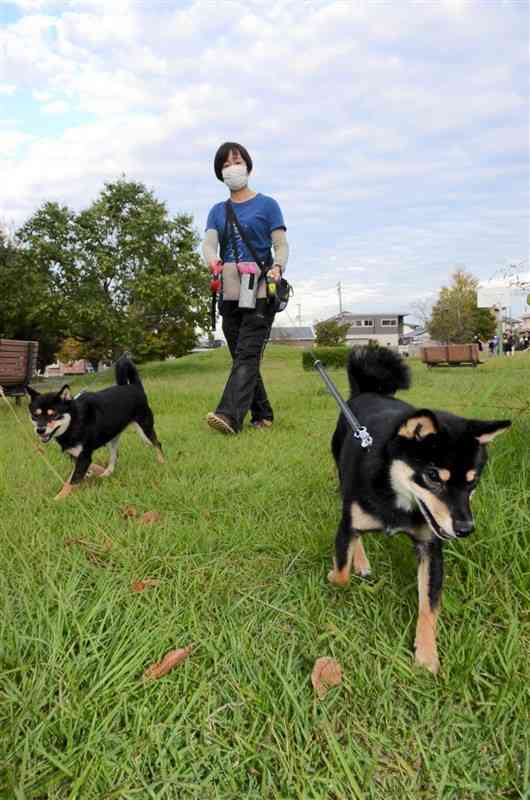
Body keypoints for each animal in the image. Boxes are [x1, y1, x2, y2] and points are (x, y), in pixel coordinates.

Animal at [26, 358, 163, 500]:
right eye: (35, 415)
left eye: (53, 415)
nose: (40, 430)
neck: (75, 421)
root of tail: (134, 386)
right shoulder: (75, 455)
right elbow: (73, 477)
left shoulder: (84, 457)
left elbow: (71, 481)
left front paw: (58, 498)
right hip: (112, 438)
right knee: (114, 456)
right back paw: (107, 473)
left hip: (145, 430)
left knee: (157, 444)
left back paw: (162, 462)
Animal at [328, 346, 510, 672]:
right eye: (433, 476)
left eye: (473, 482)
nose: (465, 529)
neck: (396, 499)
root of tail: (367, 392)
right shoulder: (347, 523)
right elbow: (341, 572)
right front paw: (337, 574)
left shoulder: (430, 546)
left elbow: (429, 605)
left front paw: (426, 653)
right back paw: (361, 560)